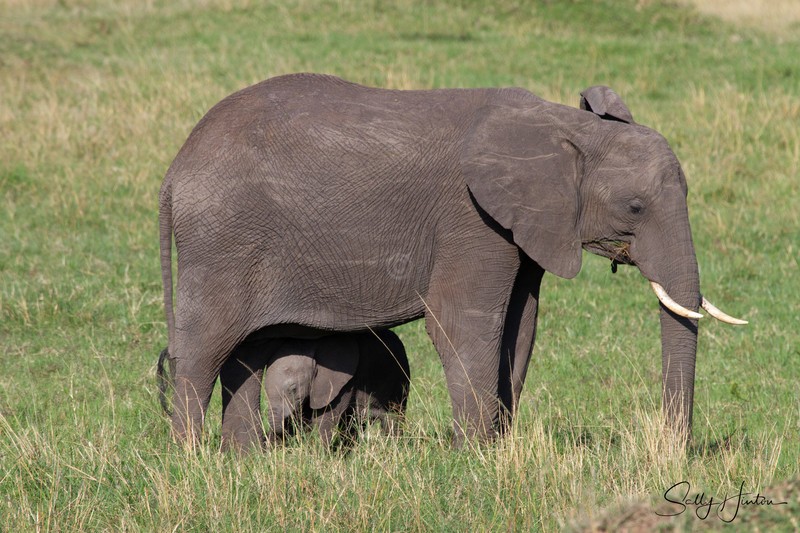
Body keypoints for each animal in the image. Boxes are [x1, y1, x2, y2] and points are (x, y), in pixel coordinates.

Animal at [264, 329, 410, 446]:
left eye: (293, 389)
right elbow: (303, 417)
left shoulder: (343, 383)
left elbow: (326, 417)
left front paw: (321, 454)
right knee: (354, 424)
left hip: (400, 379)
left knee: (394, 418)